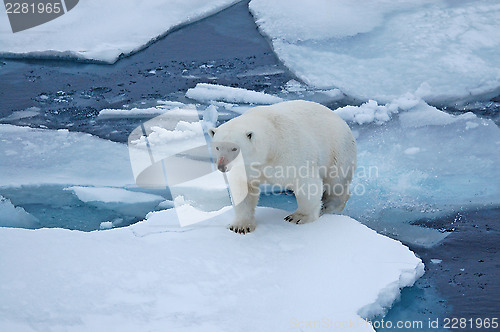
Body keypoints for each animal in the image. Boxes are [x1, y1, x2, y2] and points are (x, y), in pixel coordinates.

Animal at [209, 100, 358, 235]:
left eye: (234, 148)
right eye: (217, 147)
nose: (222, 166)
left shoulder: (291, 151)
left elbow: (306, 183)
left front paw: (298, 217)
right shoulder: (245, 167)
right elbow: (243, 189)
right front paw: (240, 226)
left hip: (338, 149)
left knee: (336, 181)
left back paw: (328, 206)